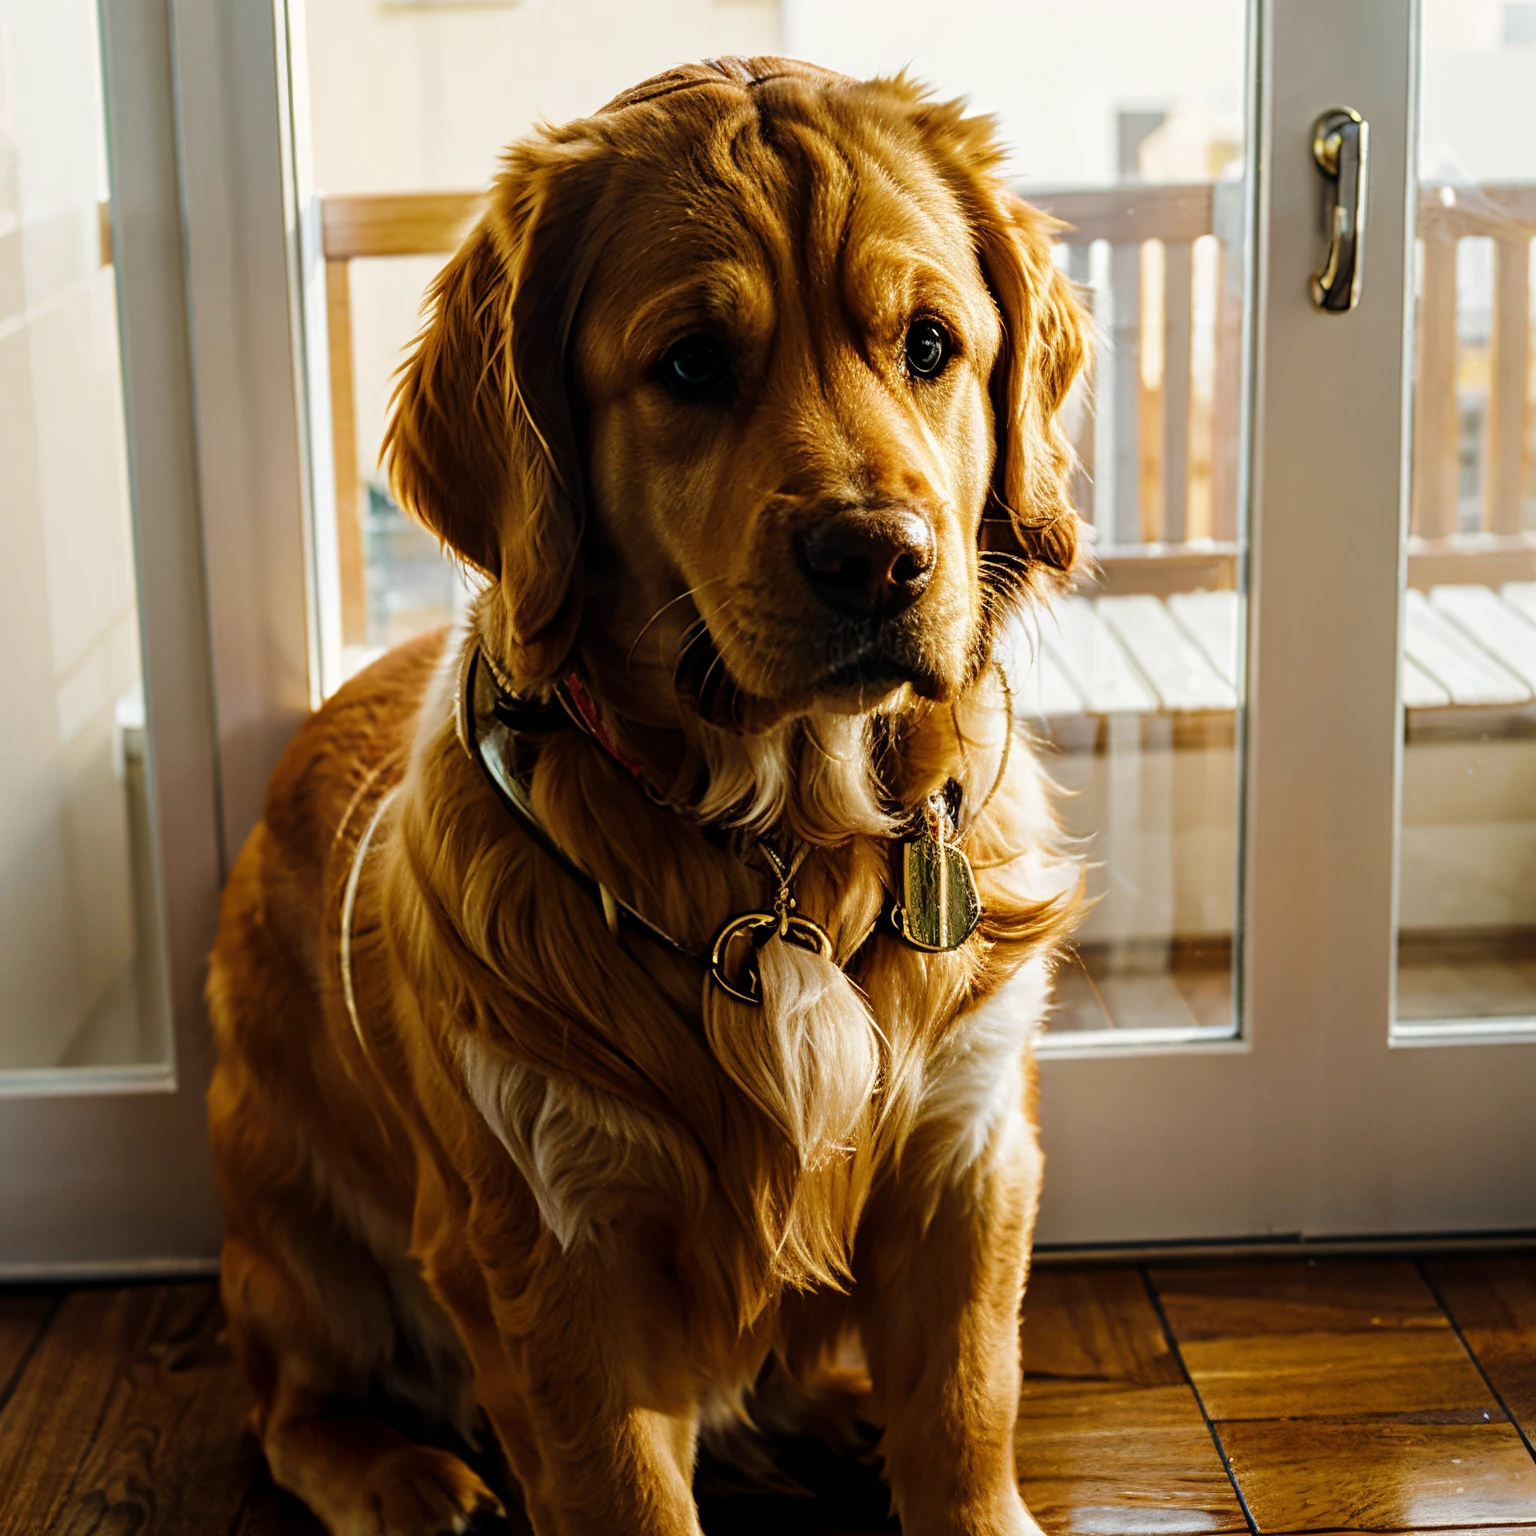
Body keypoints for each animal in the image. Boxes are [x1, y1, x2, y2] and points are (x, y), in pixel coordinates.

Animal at [204, 54, 1087, 1529]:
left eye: (929, 345)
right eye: (689, 365)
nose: (879, 557)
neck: (788, 845)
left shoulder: (970, 1156)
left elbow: (965, 1419)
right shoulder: (554, 1241)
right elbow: (622, 1487)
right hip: (289, 1216)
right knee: (281, 1408)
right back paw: (402, 1478)